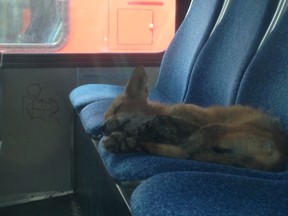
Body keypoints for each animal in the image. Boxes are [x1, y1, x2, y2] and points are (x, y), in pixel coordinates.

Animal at [100, 65, 286, 171]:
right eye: (105, 117)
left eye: (118, 108)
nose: (101, 128)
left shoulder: (195, 122)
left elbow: (162, 124)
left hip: (211, 129)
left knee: (185, 153)